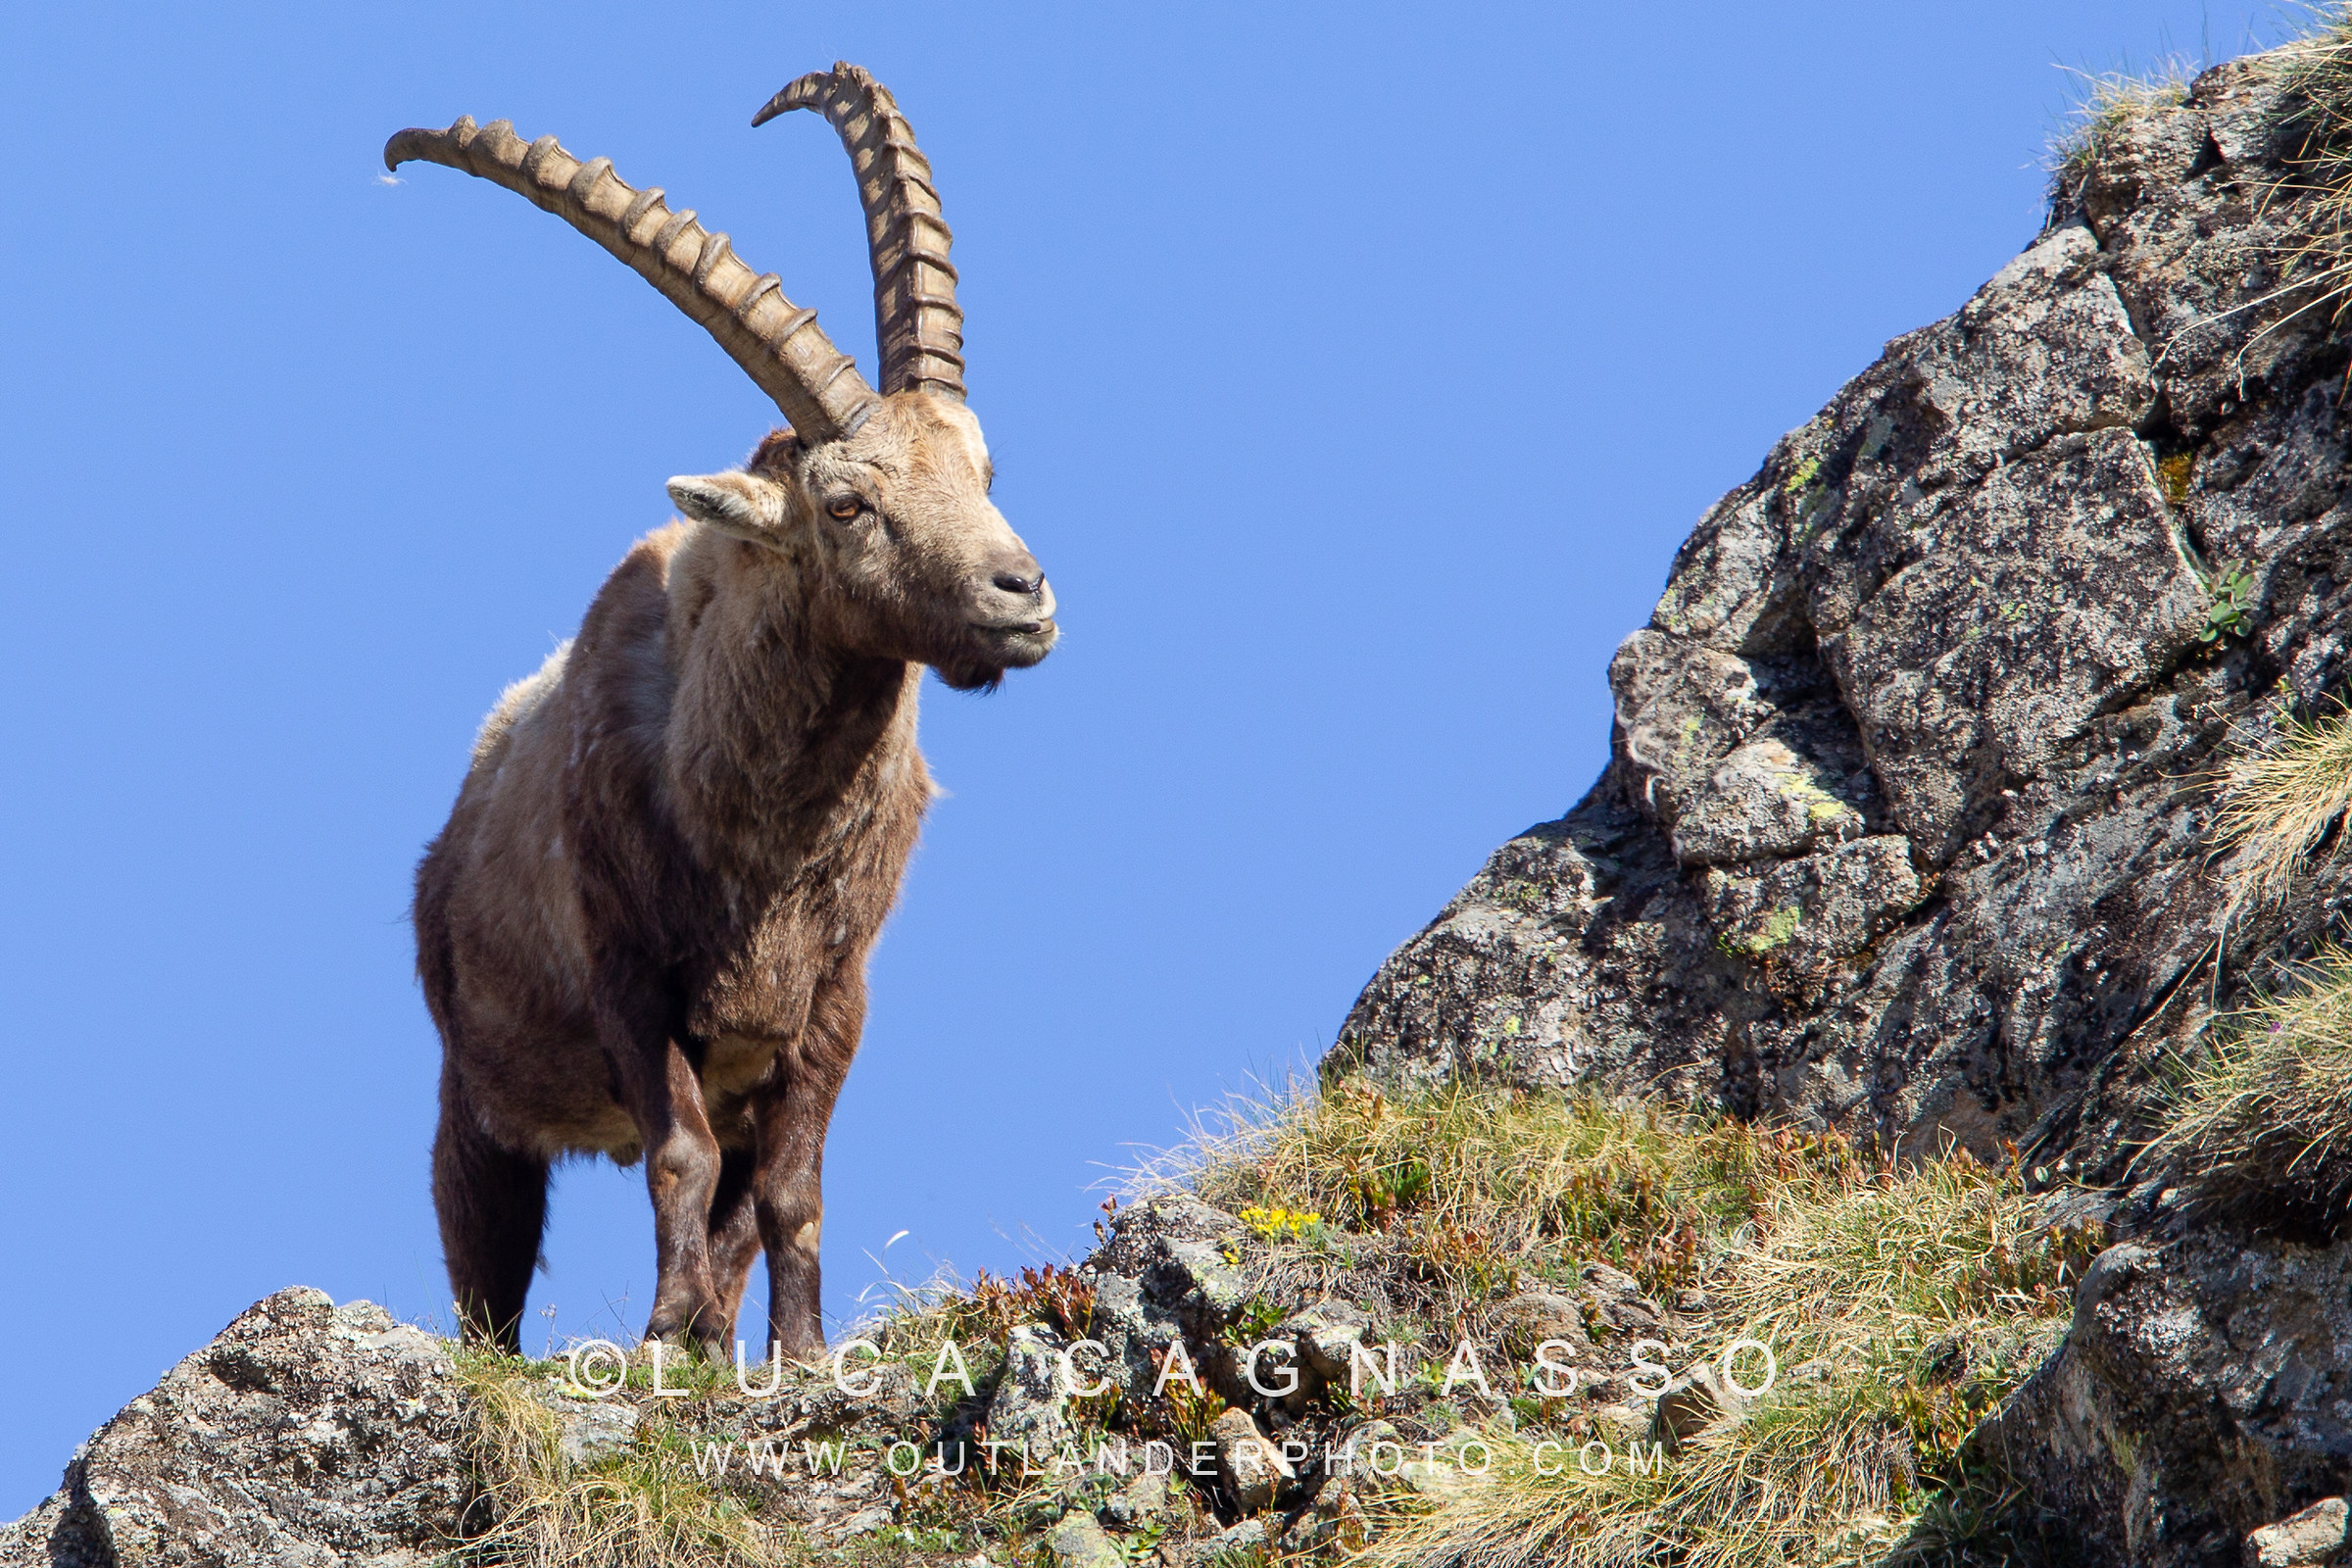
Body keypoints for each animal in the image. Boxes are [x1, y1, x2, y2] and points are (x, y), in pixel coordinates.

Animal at [389, 65, 1056, 1359]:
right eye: (846, 506)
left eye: (983, 473)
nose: (1023, 594)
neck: (759, 834)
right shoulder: (631, 975)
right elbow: (678, 1159)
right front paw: (658, 1339)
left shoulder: (829, 999)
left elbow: (790, 1192)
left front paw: (798, 1356)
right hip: (477, 1102)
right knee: (489, 1276)